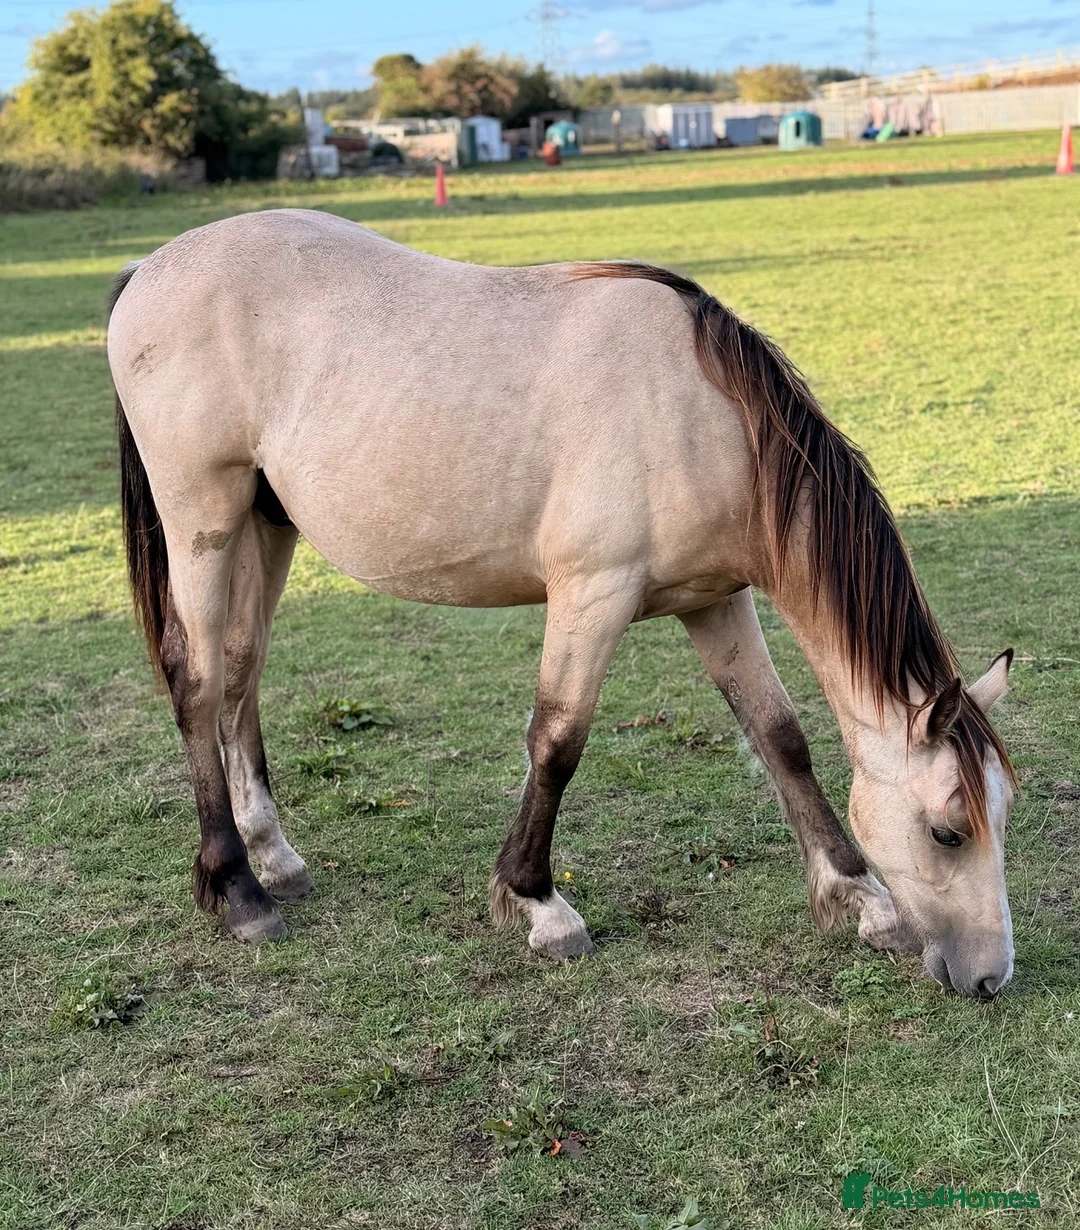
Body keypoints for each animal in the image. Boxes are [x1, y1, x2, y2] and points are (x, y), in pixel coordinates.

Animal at [107, 208, 1016, 998]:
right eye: (948, 830)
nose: (991, 978)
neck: (705, 416)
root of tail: (147, 269)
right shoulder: (592, 593)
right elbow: (557, 742)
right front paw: (537, 903)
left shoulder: (715, 601)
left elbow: (780, 736)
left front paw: (856, 897)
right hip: (203, 520)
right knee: (197, 682)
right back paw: (237, 890)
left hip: (267, 527)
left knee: (240, 674)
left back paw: (276, 859)